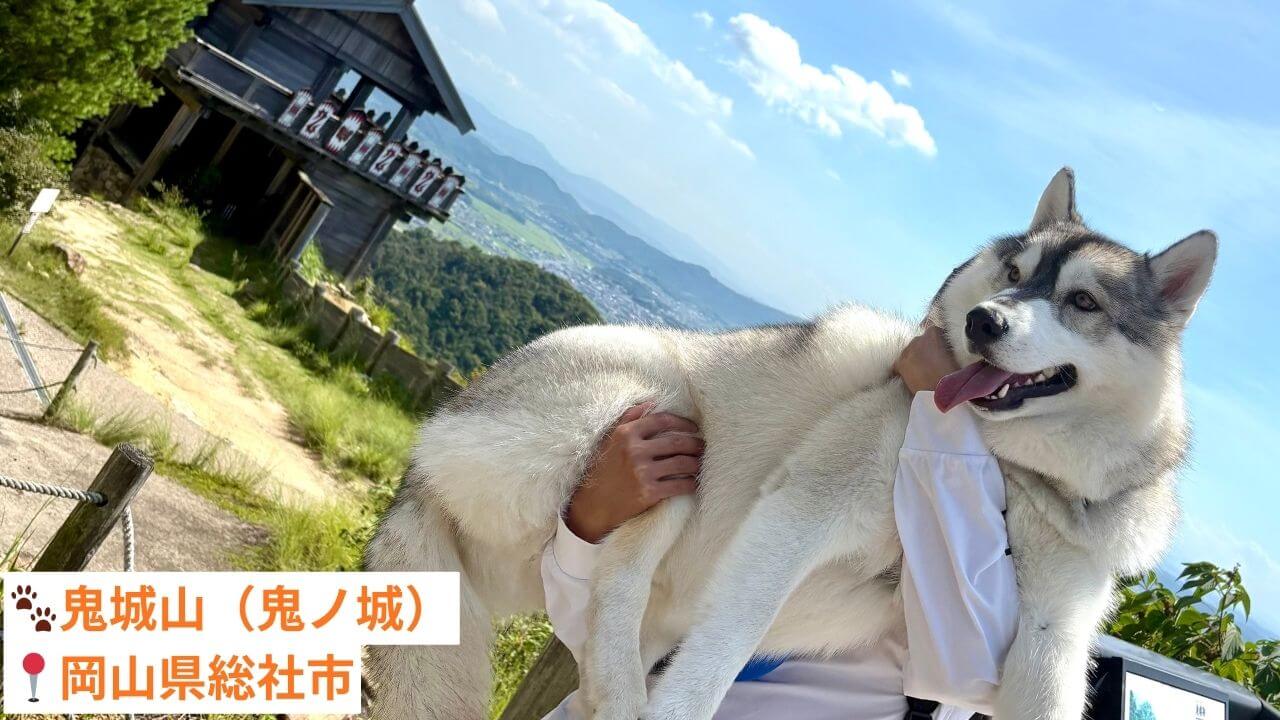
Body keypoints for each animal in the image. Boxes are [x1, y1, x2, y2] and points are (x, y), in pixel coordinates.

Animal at [364, 168, 1216, 720]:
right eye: (1013, 271)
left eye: (1082, 302)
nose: (984, 323)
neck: (1009, 468)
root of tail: (425, 458)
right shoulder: (800, 514)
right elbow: (725, 646)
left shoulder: (1051, 633)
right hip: (666, 413)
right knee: (614, 592)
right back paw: (627, 698)